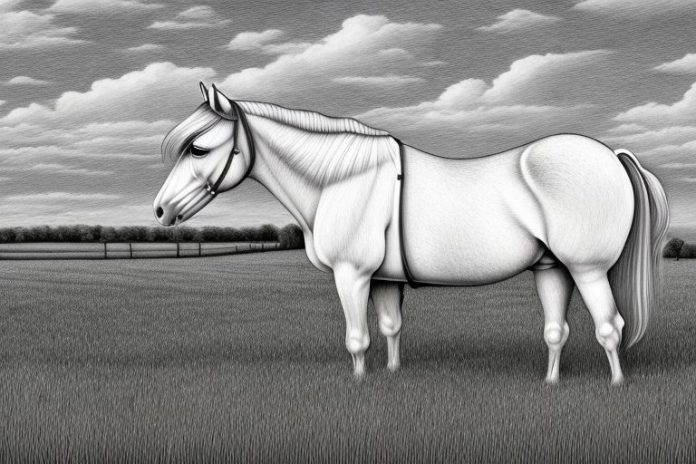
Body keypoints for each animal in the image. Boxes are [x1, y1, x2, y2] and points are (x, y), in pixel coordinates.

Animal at [154, 83, 669, 385]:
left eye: (198, 148)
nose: (161, 210)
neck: (344, 179)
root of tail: (610, 154)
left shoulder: (352, 275)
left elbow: (357, 338)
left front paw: (359, 385)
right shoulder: (384, 279)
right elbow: (390, 327)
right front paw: (392, 374)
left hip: (587, 269)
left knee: (610, 327)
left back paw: (617, 385)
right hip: (552, 269)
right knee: (557, 331)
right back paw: (550, 383)